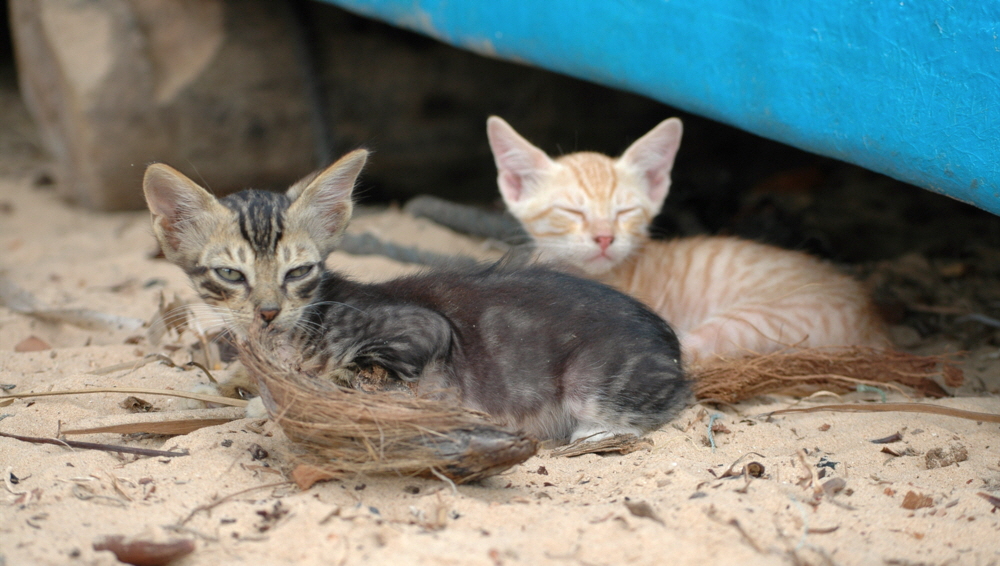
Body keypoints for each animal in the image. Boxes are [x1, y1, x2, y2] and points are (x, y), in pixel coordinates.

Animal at [143, 149, 688, 442]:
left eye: (298, 271)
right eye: (230, 274)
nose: (269, 311)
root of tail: (674, 350)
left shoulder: (421, 329)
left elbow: (339, 378)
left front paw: (277, 398)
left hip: (590, 381)